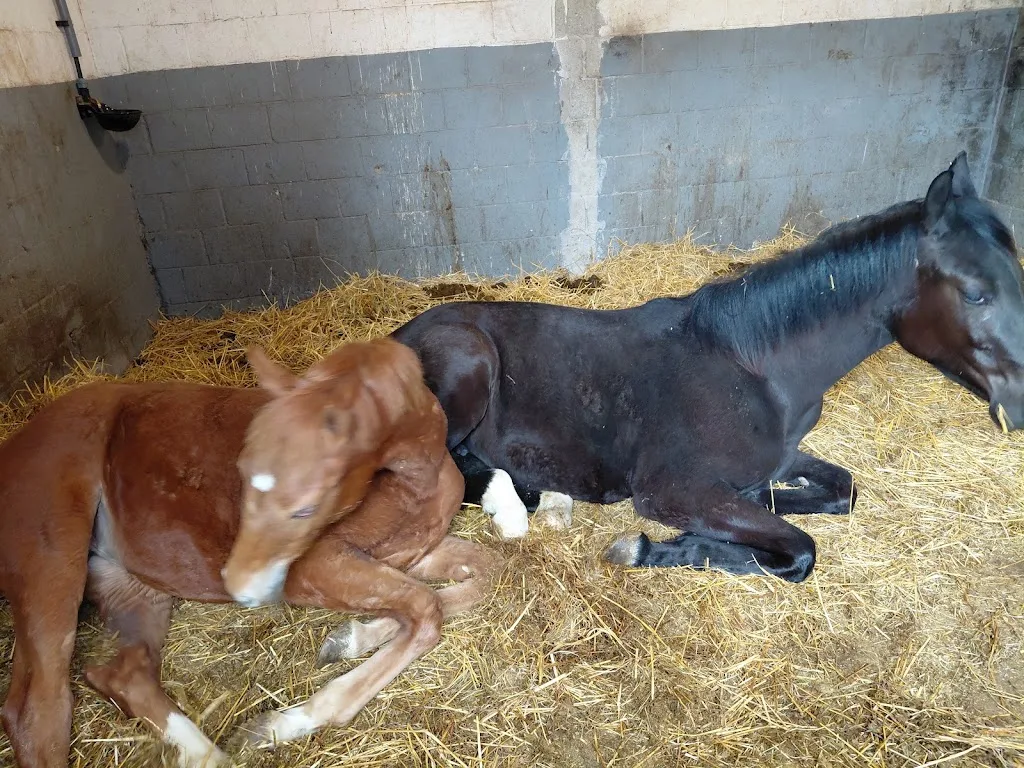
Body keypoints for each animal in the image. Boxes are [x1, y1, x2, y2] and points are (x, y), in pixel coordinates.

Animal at [0, 337, 502, 768]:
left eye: (305, 508)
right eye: (241, 472)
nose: (236, 584)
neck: (416, 481)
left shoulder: (407, 554)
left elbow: (478, 579)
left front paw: (348, 639)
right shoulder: (315, 567)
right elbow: (426, 607)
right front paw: (286, 720)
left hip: (128, 582)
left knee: (124, 674)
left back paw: (212, 756)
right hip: (51, 563)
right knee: (37, 708)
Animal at [392, 152, 1024, 580]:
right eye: (975, 293)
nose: (1018, 404)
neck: (756, 369)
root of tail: (398, 334)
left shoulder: (781, 457)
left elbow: (837, 492)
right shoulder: (671, 490)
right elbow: (798, 550)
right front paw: (652, 547)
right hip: (469, 364)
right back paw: (512, 504)